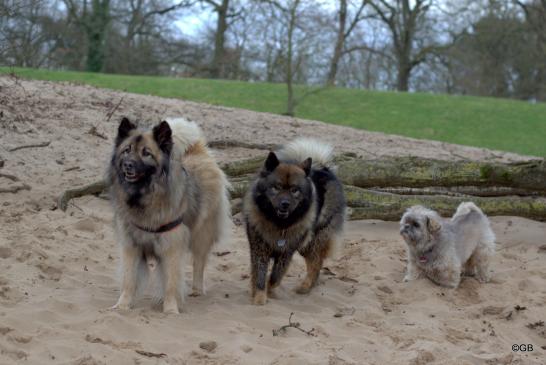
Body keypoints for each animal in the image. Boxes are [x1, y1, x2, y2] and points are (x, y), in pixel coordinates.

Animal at [108, 116, 230, 312]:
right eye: (127, 150)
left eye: (146, 153)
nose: (128, 165)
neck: (145, 197)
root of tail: (197, 150)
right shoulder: (131, 246)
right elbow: (129, 279)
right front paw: (122, 305)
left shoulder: (172, 245)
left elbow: (172, 281)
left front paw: (171, 309)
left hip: (202, 234)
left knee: (199, 262)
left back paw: (196, 290)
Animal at [243, 138, 344, 302]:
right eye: (276, 187)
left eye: (295, 190)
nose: (285, 204)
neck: (278, 224)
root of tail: (325, 169)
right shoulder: (259, 250)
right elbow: (259, 277)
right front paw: (258, 298)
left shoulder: (286, 253)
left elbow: (274, 278)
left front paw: (270, 293)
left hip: (312, 241)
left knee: (316, 264)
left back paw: (305, 287)